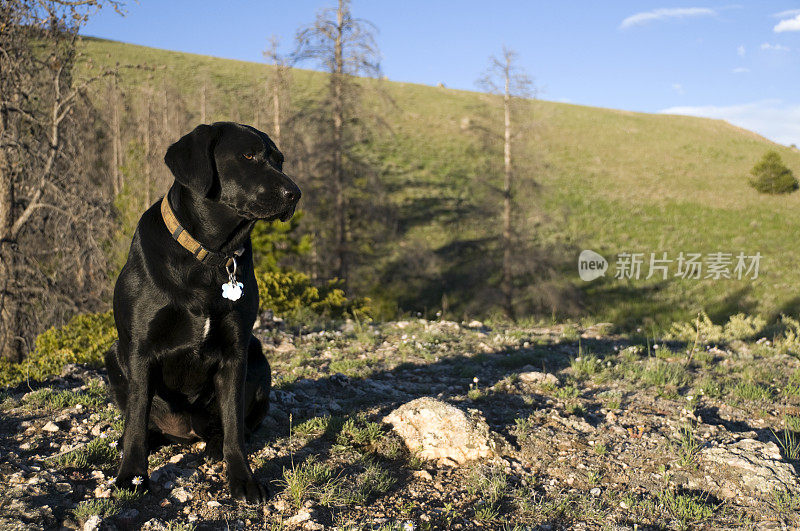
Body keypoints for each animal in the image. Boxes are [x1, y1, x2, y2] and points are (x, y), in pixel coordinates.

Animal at [106, 122, 300, 504]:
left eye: (280, 160)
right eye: (248, 155)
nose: (295, 194)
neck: (210, 256)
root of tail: (186, 433)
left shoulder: (236, 350)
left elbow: (235, 423)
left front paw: (243, 479)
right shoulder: (139, 349)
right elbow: (135, 420)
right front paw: (131, 478)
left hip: (259, 357)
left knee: (236, 424)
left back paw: (213, 444)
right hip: (112, 357)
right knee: (143, 422)